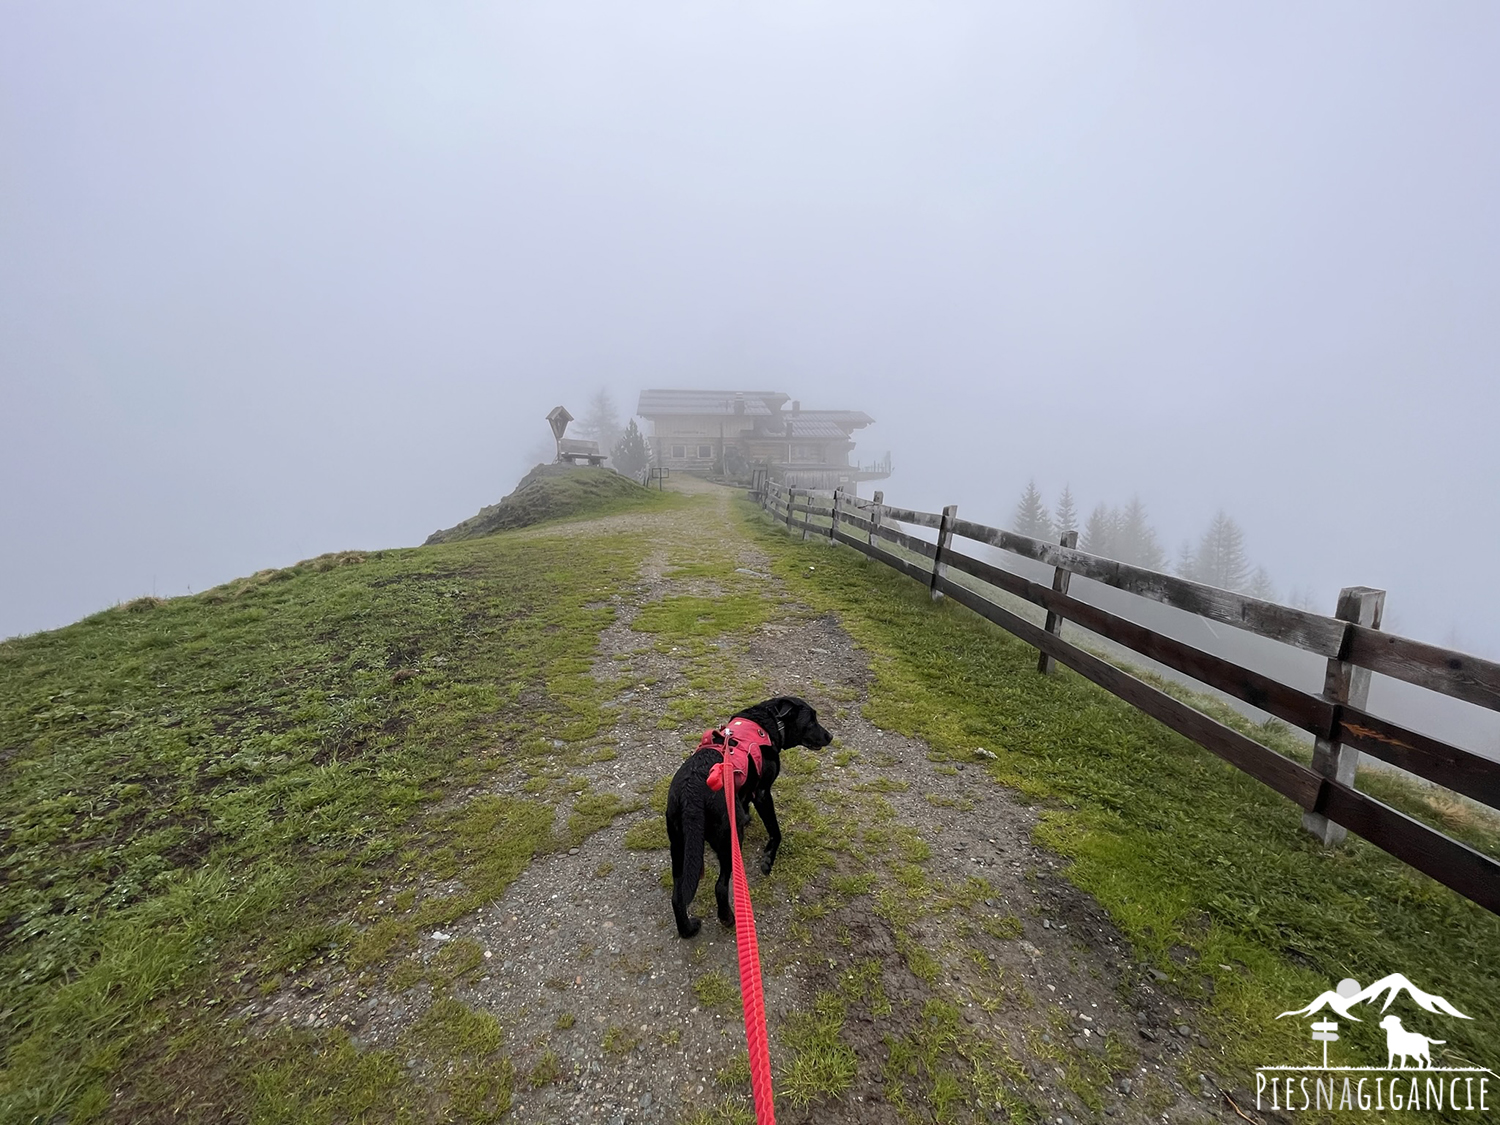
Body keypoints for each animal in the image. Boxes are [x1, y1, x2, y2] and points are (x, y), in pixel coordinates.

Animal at [666, 696, 834, 942]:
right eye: (811, 720)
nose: (830, 736)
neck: (770, 722)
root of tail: (691, 793)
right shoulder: (763, 793)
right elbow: (775, 831)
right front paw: (768, 859)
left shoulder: (745, 790)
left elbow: (745, 805)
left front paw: (748, 817)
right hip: (729, 837)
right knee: (720, 886)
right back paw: (728, 918)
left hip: (679, 847)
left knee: (678, 896)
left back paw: (688, 930)